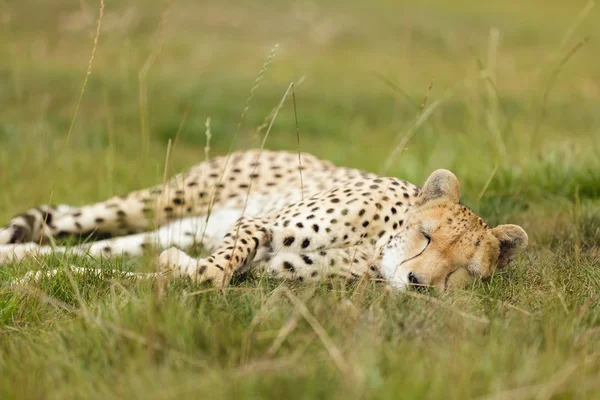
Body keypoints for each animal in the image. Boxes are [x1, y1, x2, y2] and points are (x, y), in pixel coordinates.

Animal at [0, 148, 528, 290]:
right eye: (426, 236)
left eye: (462, 272)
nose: (418, 283)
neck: (376, 246)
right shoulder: (261, 227)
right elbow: (212, 270)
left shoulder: (264, 273)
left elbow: (123, 273)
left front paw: (34, 281)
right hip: (164, 200)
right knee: (67, 217)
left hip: (184, 226)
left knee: (101, 248)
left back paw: (18, 258)